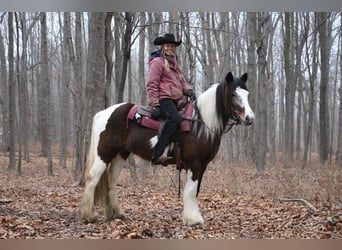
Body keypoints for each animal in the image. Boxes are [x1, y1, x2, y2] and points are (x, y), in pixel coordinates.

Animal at [79, 71, 254, 226]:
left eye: (247, 94)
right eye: (233, 94)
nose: (249, 118)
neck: (200, 123)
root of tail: (104, 113)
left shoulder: (203, 165)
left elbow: (196, 191)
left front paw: (193, 216)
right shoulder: (194, 163)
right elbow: (191, 191)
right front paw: (192, 219)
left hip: (120, 154)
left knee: (111, 181)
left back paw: (116, 213)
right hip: (104, 153)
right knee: (93, 177)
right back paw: (89, 215)